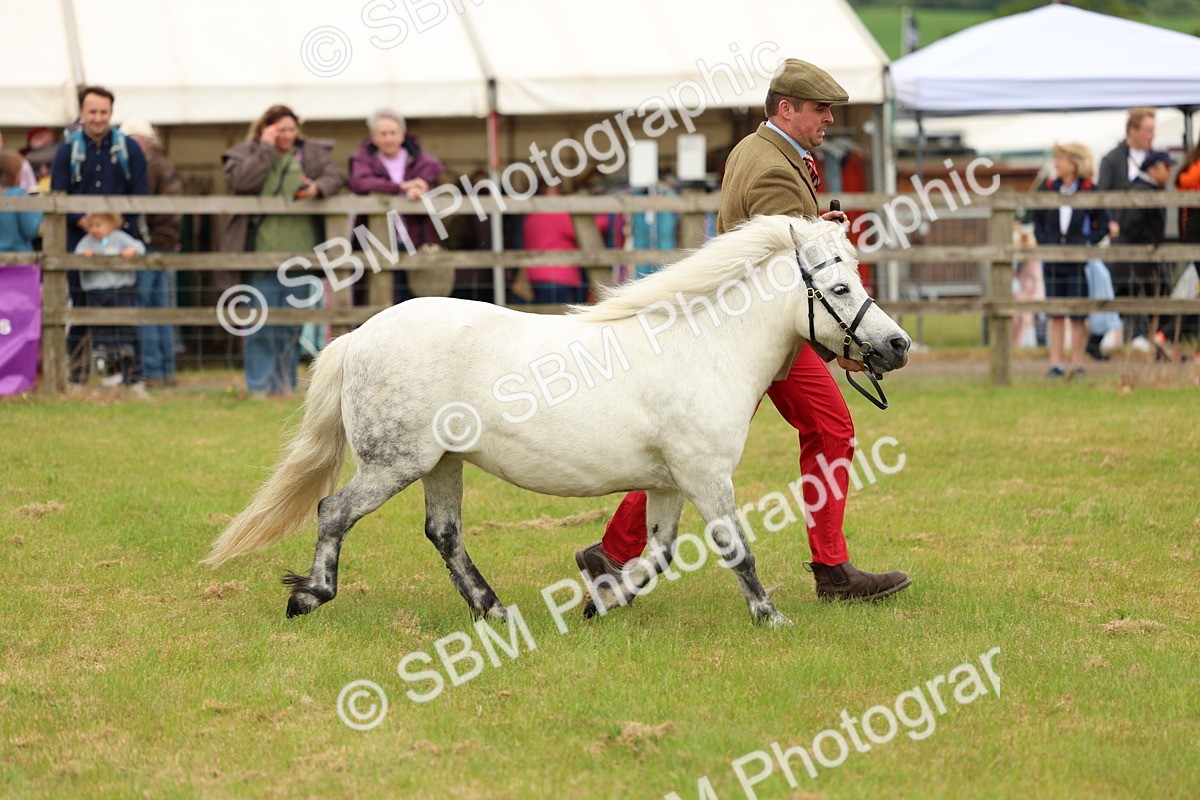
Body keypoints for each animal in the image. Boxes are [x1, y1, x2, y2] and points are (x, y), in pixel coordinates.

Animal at [203, 215, 911, 626]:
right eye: (840, 288)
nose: (898, 345)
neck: (704, 346)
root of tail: (359, 337)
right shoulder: (707, 476)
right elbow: (736, 548)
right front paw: (769, 617)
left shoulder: (668, 482)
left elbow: (657, 554)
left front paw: (604, 599)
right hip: (394, 463)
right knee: (335, 512)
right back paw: (309, 596)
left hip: (441, 464)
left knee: (444, 533)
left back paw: (494, 610)